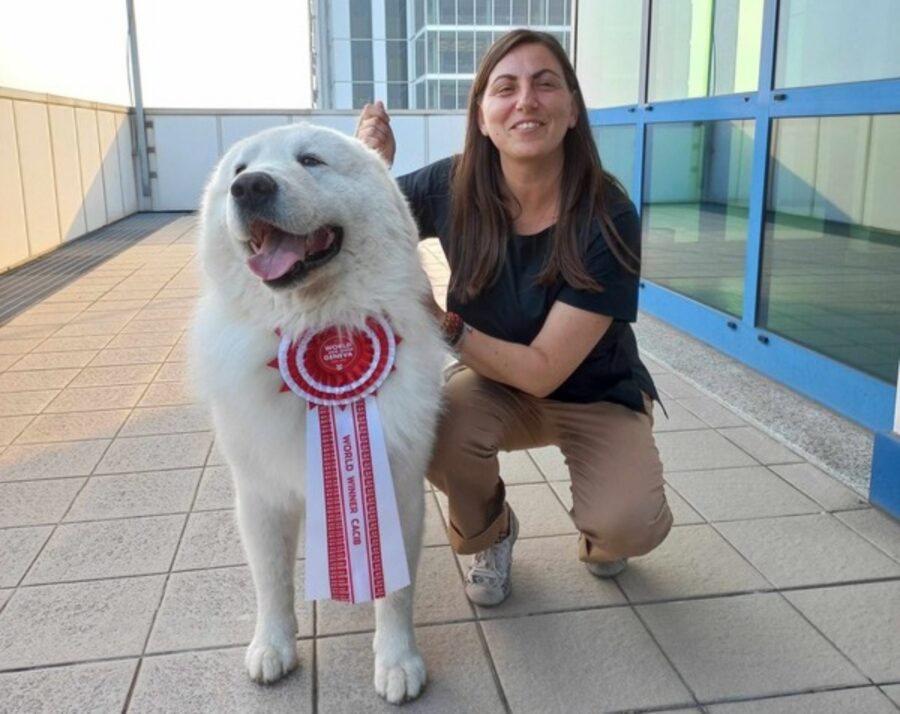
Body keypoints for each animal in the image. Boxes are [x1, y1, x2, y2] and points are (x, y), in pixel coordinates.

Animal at [190, 122, 442, 700]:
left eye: (310, 160)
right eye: (239, 170)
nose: (250, 187)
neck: (318, 324)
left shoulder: (397, 486)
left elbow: (396, 592)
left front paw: (398, 662)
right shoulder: (259, 496)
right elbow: (272, 582)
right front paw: (273, 647)